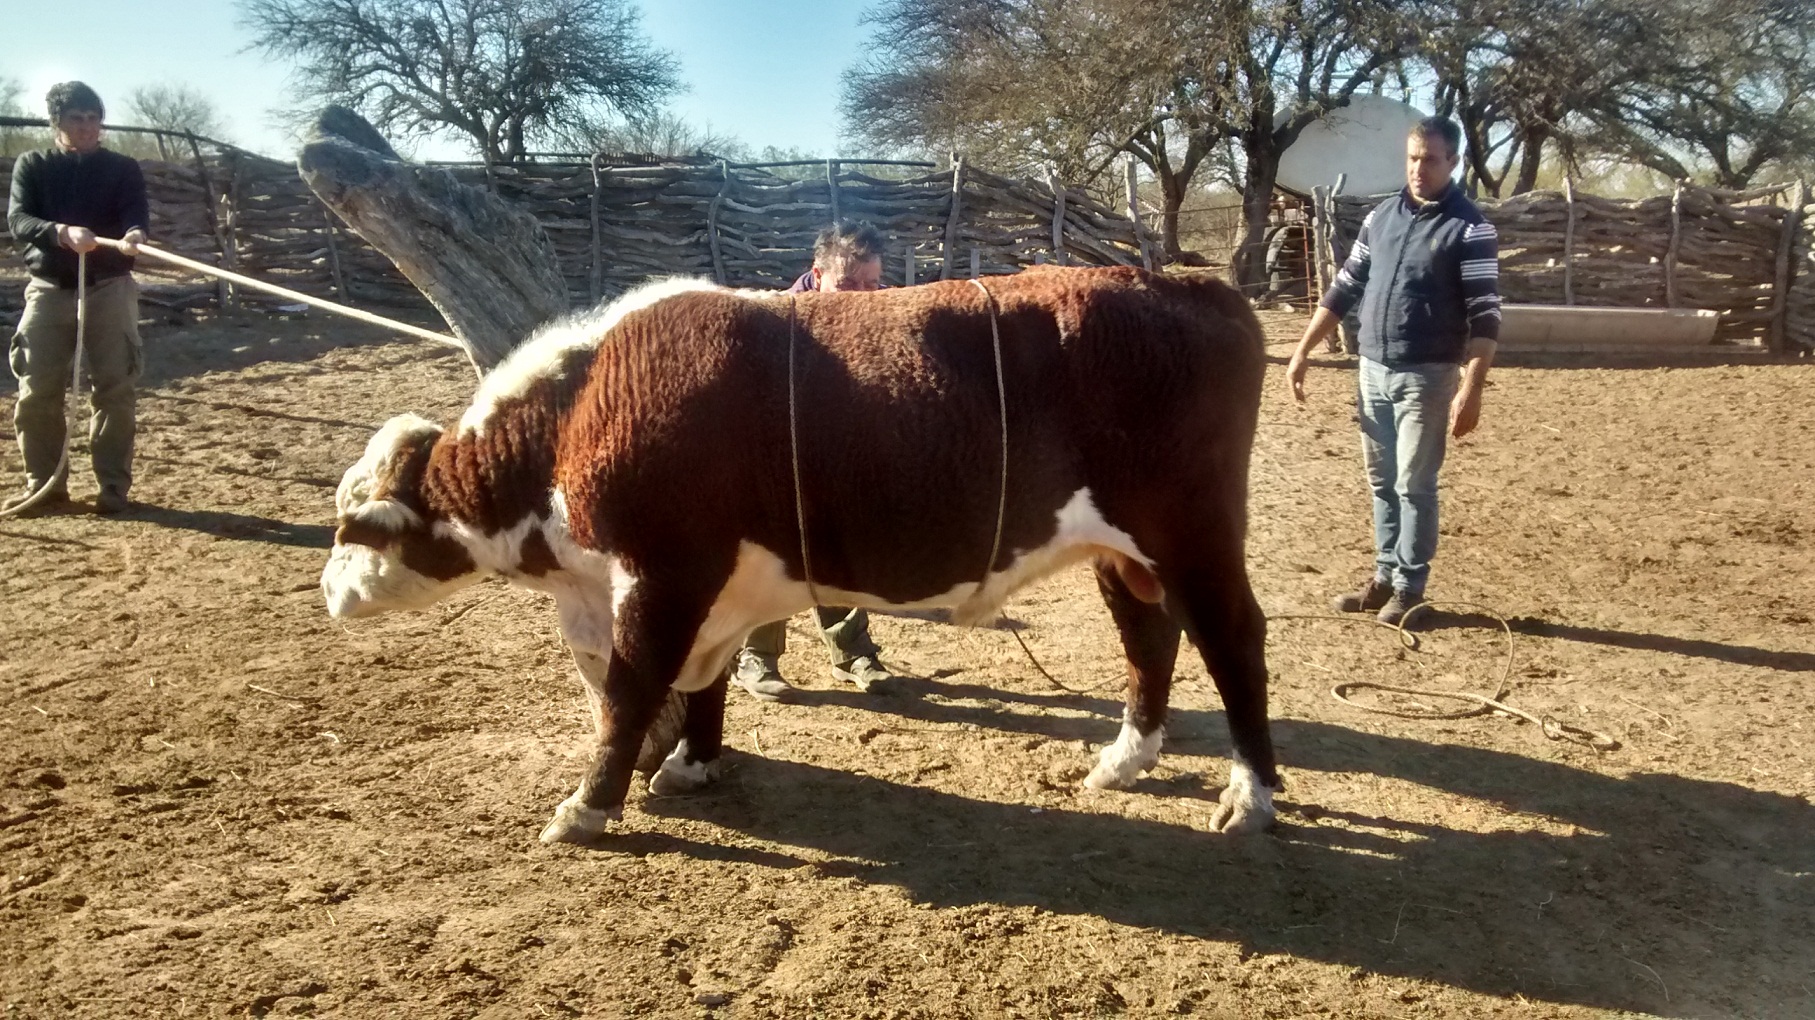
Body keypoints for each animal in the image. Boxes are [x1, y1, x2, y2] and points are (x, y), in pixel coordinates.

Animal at [326, 263, 1285, 842]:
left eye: (345, 528)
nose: (328, 591)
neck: (580, 413)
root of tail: (1181, 279)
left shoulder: (663, 573)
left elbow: (631, 695)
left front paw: (586, 808)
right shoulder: (708, 593)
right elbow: (701, 683)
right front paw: (693, 764)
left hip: (1192, 535)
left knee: (1233, 640)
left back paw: (1251, 794)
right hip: (1120, 551)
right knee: (1147, 637)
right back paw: (1126, 758)